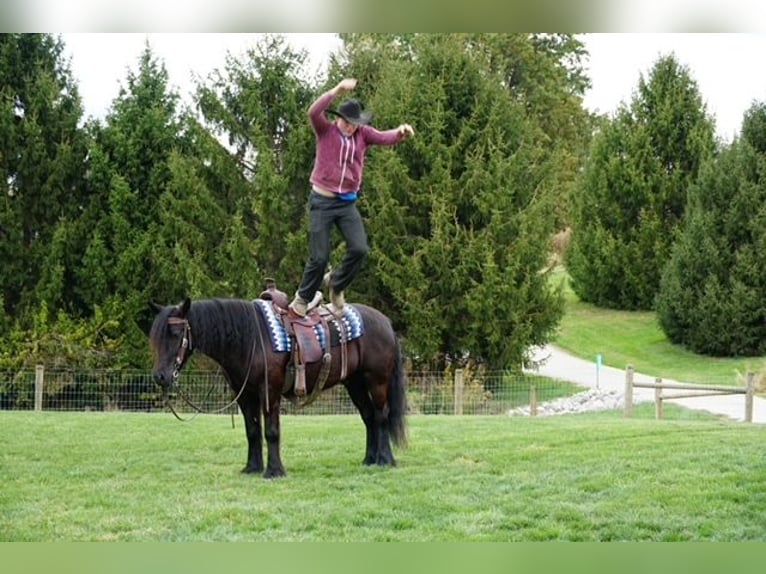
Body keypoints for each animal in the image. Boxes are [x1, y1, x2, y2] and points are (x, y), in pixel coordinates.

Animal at [148, 292, 407, 478]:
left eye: (175, 333)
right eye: (156, 336)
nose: (160, 376)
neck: (252, 338)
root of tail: (385, 322)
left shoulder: (269, 391)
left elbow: (271, 431)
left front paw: (274, 471)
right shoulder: (245, 395)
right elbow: (252, 431)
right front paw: (252, 468)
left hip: (377, 380)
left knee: (381, 416)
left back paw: (385, 460)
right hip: (354, 383)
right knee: (369, 417)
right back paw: (369, 460)